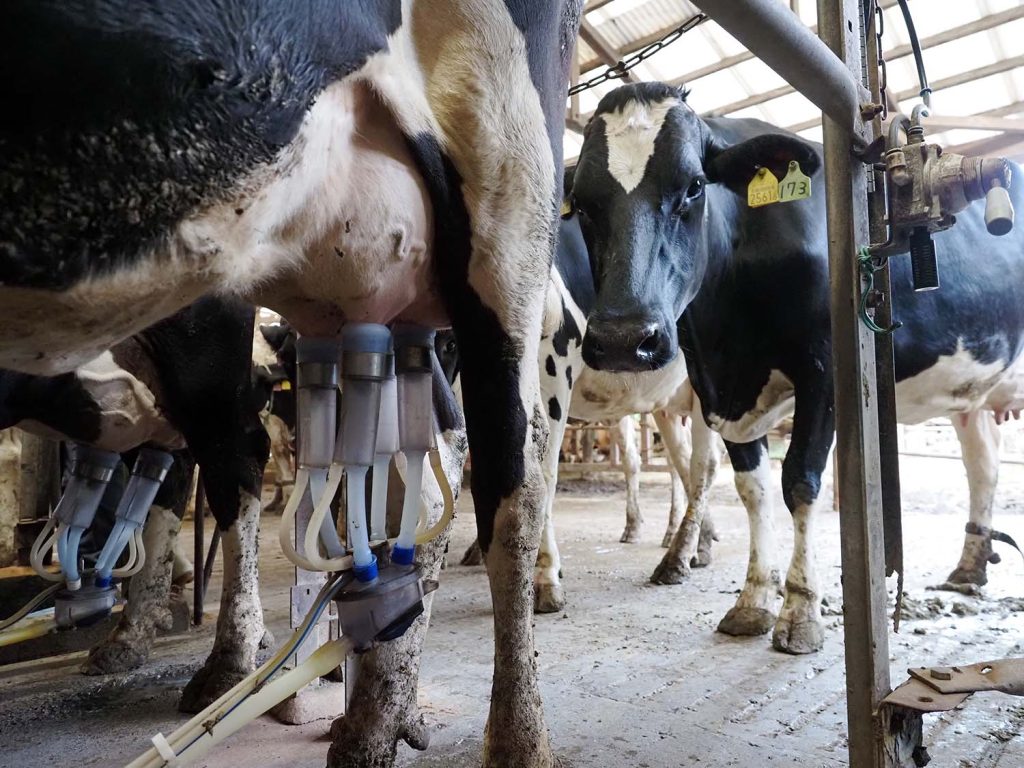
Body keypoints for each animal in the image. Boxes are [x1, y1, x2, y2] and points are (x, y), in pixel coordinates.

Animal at [569, 83, 1024, 659]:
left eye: (693, 186)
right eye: (582, 203)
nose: (624, 339)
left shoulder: (822, 371)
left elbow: (800, 482)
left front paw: (800, 611)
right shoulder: (720, 393)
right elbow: (753, 490)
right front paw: (752, 601)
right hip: (973, 392)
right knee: (983, 464)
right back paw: (969, 569)